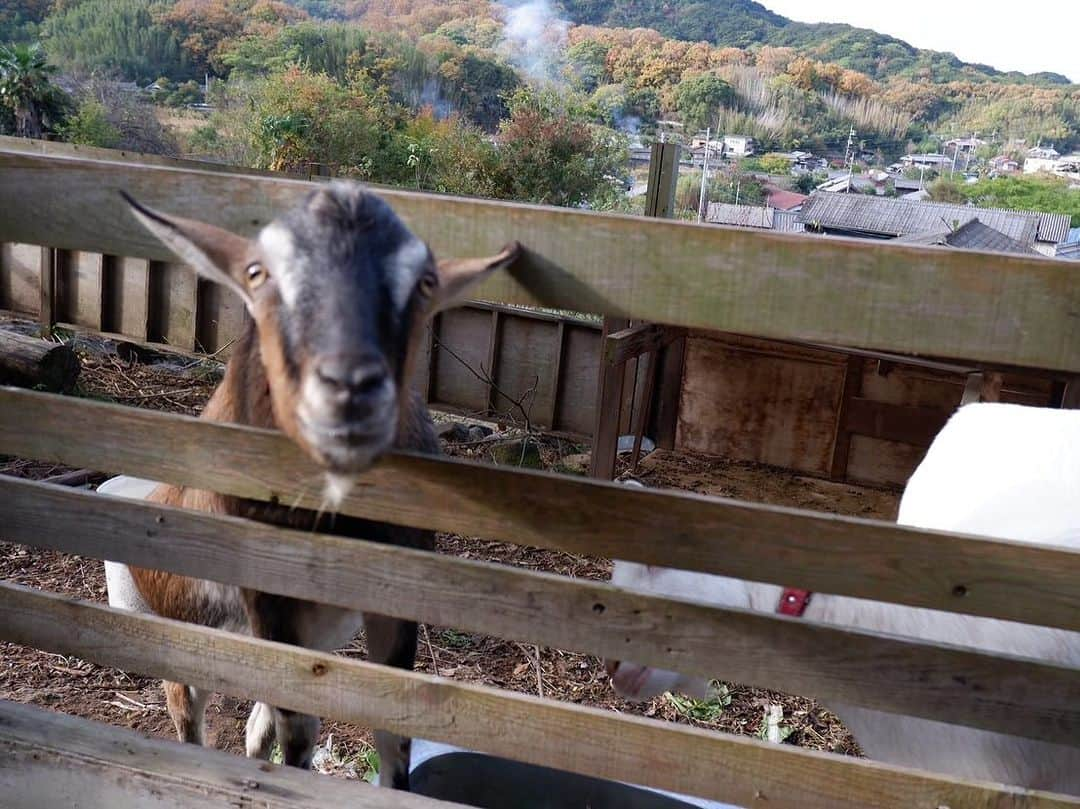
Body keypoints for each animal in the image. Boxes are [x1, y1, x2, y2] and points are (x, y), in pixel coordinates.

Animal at [116, 184, 520, 790]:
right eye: (257, 271)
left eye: (424, 280)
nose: (349, 386)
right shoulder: (270, 602)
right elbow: (298, 733)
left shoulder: (391, 602)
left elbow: (391, 730)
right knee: (189, 712)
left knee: (255, 725)